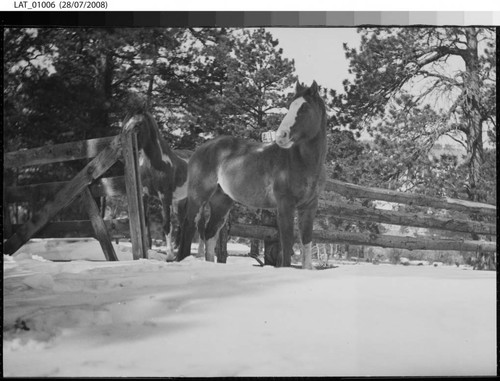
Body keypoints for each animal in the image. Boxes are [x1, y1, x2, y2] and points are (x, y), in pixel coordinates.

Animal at [121, 110, 189, 258]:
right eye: (126, 122)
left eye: (138, 124)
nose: (124, 146)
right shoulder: (144, 195)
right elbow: (145, 222)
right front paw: (148, 249)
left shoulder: (165, 196)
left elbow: (166, 224)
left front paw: (169, 254)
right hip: (179, 203)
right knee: (183, 224)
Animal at [177, 80, 328, 268]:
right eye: (289, 106)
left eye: (305, 108)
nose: (281, 136)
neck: (302, 162)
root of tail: (200, 150)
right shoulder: (285, 204)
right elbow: (286, 242)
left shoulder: (309, 206)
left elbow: (306, 241)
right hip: (199, 196)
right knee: (189, 225)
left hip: (221, 202)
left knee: (210, 234)